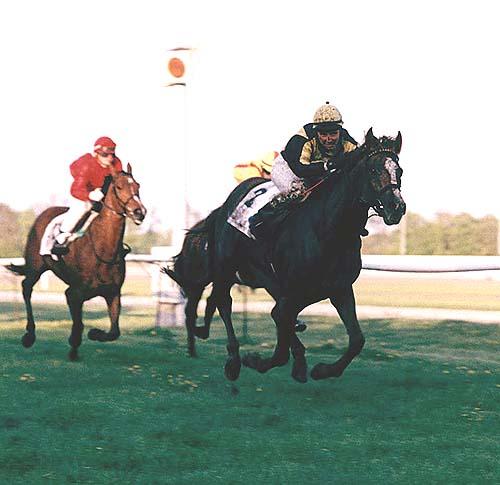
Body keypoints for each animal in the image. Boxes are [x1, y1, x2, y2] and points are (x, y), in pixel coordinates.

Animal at [7, 163, 147, 360]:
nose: (139, 212)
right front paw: (74, 346)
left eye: (138, 186)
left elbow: (114, 331)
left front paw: (94, 333)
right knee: (26, 288)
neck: (103, 251)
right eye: (119, 187)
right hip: (36, 266)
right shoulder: (74, 292)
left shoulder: (113, 292)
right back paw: (29, 335)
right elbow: (79, 323)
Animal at [202, 128, 406, 382]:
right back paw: (233, 360)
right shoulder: (295, 291)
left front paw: (322, 370)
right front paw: (256, 360)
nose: (397, 207)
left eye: (399, 171)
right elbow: (281, 324)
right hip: (226, 267)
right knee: (224, 302)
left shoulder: (338, 289)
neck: (329, 230)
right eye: (374, 170)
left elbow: (357, 340)